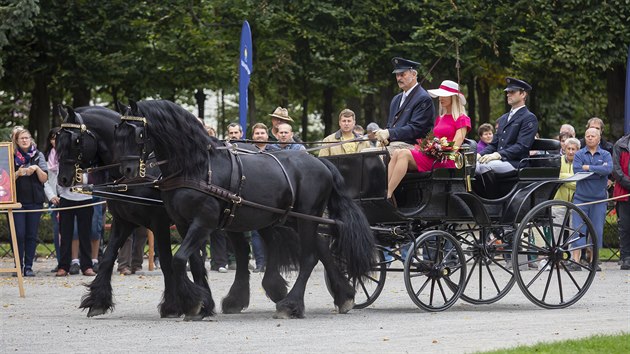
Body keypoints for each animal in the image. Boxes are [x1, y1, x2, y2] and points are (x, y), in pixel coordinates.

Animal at [54, 106, 207, 318]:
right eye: (58, 138)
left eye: (76, 140)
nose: (63, 179)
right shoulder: (122, 222)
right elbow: (108, 258)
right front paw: (98, 301)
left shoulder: (159, 224)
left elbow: (166, 262)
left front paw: (172, 306)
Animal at [116, 99, 378, 318]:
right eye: (118, 131)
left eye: (139, 133)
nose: (127, 171)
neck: (196, 168)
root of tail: (320, 161)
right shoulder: (183, 224)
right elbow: (195, 263)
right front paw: (203, 304)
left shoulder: (203, 222)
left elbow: (180, 260)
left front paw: (193, 303)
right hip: (292, 218)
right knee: (321, 248)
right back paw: (344, 296)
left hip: (306, 217)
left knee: (309, 257)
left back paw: (290, 304)